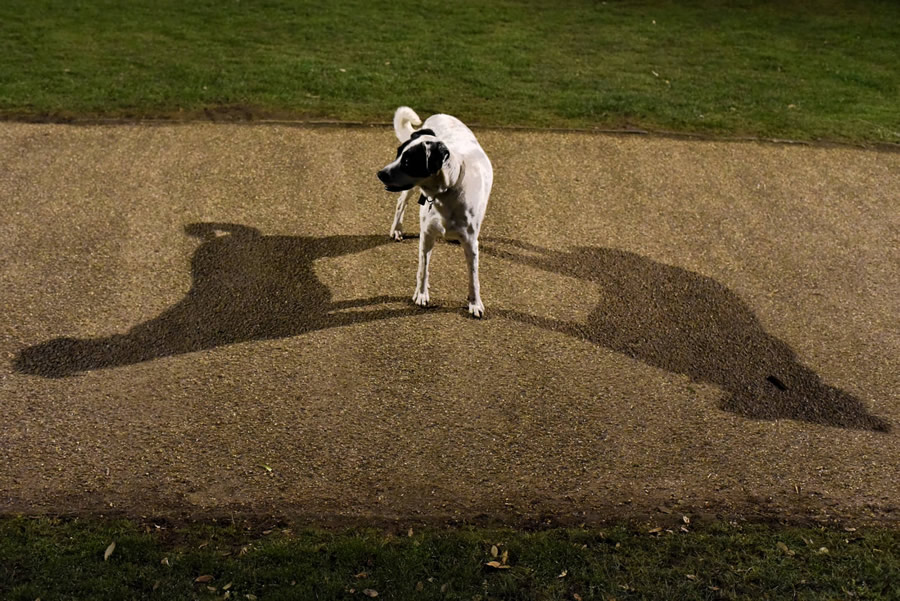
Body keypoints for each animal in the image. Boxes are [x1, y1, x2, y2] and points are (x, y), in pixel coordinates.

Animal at [376, 105, 496, 316]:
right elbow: (423, 269)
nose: (380, 174)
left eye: (408, 161)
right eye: (398, 154)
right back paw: (396, 229)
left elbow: (473, 277)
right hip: (409, 193)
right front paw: (421, 294)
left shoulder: (471, 243)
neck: (447, 190)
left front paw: (475, 303)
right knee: (400, 203)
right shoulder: (427, 235)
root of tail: (439, 115)